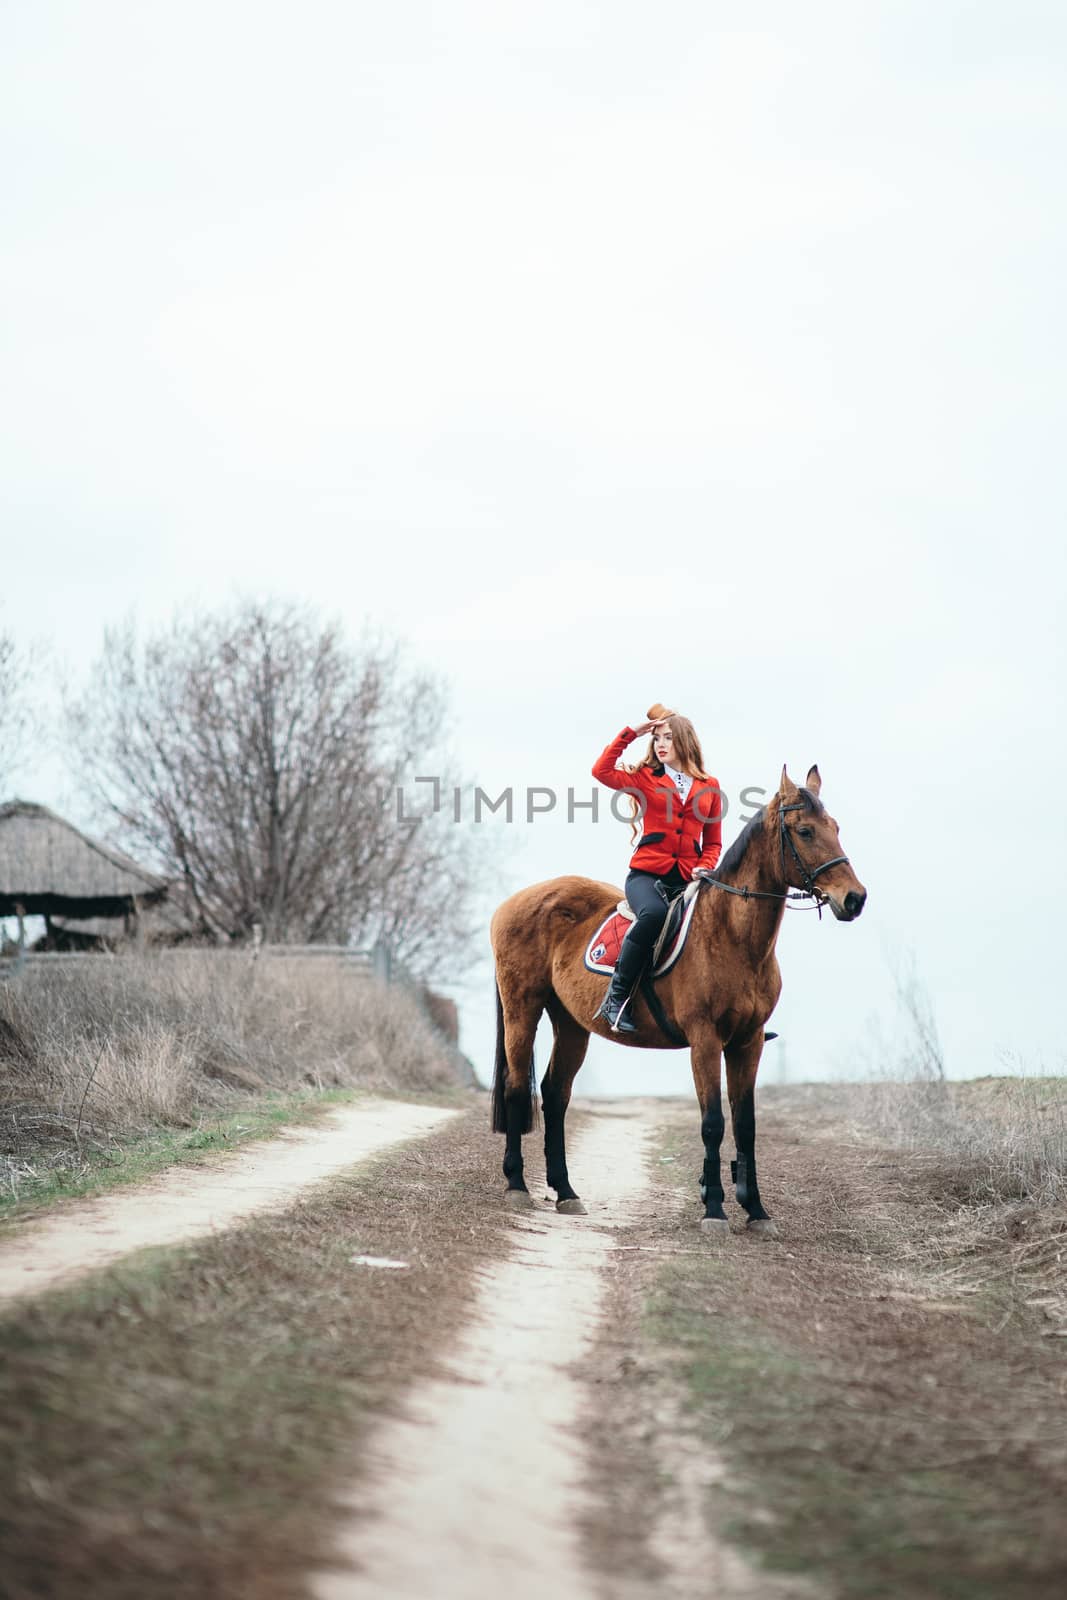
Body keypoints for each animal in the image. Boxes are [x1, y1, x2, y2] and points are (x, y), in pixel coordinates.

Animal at [492, 768, 870, 1228]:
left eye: (836, 828)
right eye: (805, 831)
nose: (855, 899)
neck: (732, 935)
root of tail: (513, 902)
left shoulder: (749, 1042)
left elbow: (746, 1125)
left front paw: (755, 1209)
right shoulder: (705, 1041)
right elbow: (713, 1122)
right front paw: (714, 1209)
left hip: (571, 1023)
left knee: (555, 1095)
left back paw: (565, 1191)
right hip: (522, 1009)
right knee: (516, 1087)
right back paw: (516, 1185)